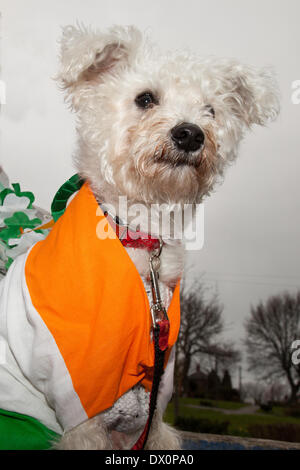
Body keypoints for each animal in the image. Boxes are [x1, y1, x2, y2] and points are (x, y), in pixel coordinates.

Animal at [0, 23, 278, 450]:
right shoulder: (80, 403)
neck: (142, 238)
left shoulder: (154, 403)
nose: (190, 134)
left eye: (211, 110)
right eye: (145, 98)